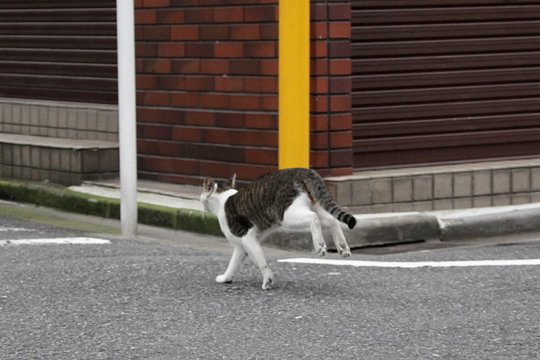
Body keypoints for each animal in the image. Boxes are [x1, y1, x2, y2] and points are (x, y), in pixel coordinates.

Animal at [200, 168, 356, 290]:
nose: (200, 202)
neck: (223, 199)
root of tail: (303, 170)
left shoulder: (246, 236)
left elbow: (260, 261)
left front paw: (267, 280)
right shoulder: (241, 246)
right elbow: (234, 263)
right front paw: (226, 278)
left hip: (285, 214)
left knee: (313, 218)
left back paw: (320, 245)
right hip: (316, 204)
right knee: (332, 220)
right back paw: (342, 247)